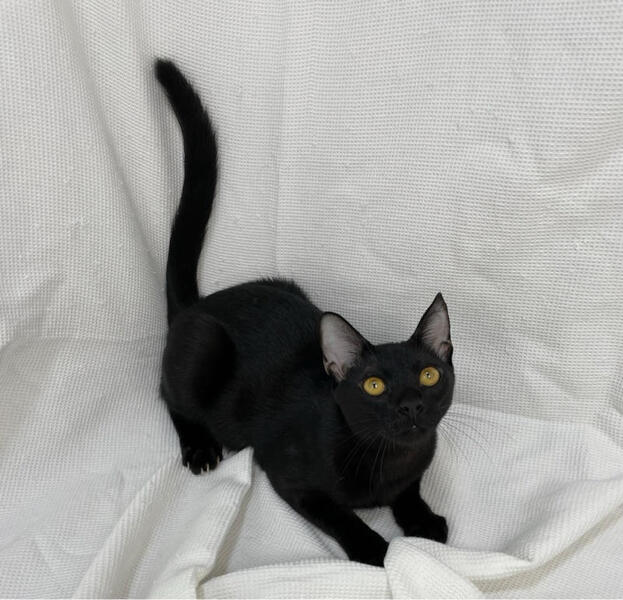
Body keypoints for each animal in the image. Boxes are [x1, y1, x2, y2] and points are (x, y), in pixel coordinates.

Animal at [155, 59, 454, 567]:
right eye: (373, 386)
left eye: (430, 376)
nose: (412, 404)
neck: (388, 459)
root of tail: (200, 304)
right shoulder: (288, 475)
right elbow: (341, 516)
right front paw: (377, 550)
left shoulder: (414, 465)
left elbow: (409, 490)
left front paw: (422, 519)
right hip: (202, 349)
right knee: (167, 392)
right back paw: (199, 446)